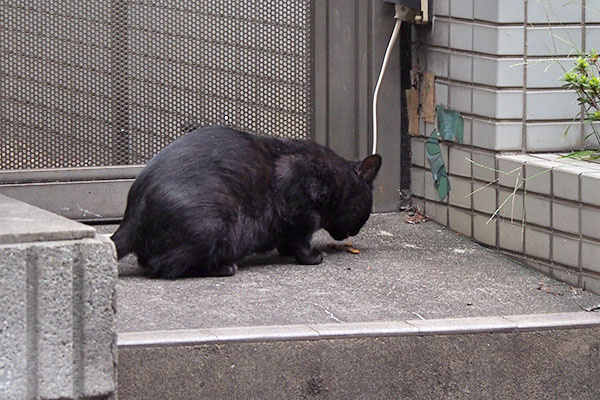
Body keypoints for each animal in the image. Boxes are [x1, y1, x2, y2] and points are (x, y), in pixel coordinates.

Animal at [110, 126, 382, 278]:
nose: (353, 232)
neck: (329, 175)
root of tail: (131, 216)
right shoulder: (302, 214)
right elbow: (302, 242)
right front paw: (312, 257)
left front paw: (285, 250)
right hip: (214, 222)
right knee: (164, 267)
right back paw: (223, 268)